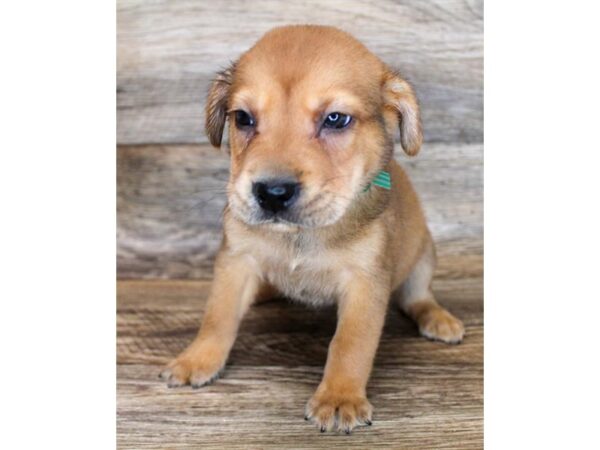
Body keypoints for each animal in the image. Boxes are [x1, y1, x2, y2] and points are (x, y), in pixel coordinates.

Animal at [159, 24, 464, 432]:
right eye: (243, 118)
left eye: (335, 119)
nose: (272, 193)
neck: (300, 235)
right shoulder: (236, 261)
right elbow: (217, 316)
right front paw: (197, 359)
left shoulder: (365, 282)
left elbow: (350, 343)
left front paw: (339, 397)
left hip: (424, 257)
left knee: (418, 297)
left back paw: (438, 318)